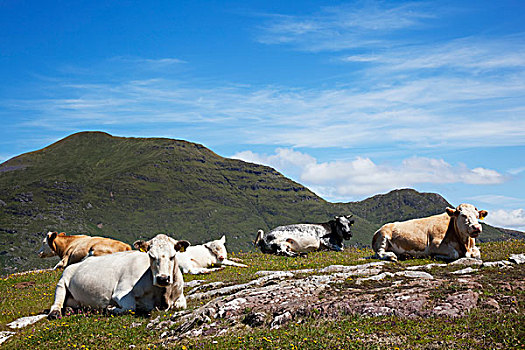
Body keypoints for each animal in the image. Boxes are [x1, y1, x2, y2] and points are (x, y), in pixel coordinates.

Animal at [47, 234, 189, 318]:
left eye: (173, 256)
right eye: (151, 255)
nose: (163, 278)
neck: (163, 296)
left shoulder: (179, 295)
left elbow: (181, 305)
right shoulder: (121, 293)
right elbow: (130, 307)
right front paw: (111, 308)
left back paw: (70, 309)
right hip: (63, 280)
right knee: (57, 302)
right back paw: (55, 313)